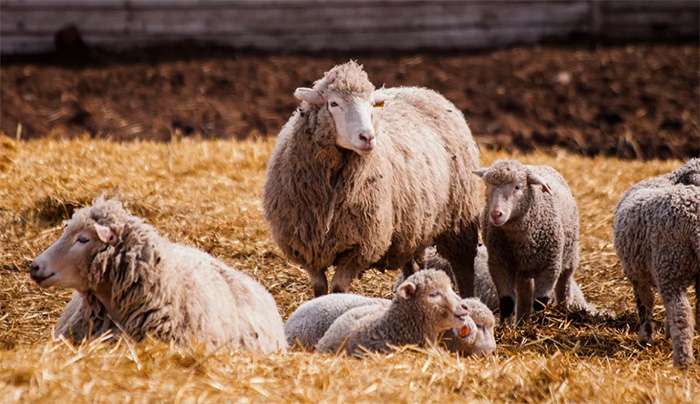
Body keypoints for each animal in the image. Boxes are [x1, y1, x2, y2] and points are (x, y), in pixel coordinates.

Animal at [262, 61, 482, 298]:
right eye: (333, 103)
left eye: (370, 106)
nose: (367, 137)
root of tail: (422, 90)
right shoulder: (306, 248)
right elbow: (320, 290)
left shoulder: (359, 248)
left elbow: (338, 290)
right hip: (413, 226)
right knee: (414, 265)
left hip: (459, 216)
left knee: (464, 267)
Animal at [474, 159, 584, 324]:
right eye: (488, 186)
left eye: (517, 187)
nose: (496, 214)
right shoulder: (499, 265)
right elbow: (506, 301)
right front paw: (504, 326)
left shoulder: (550, 267)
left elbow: (540, 302)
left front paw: (537, 324)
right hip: (522, 271)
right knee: (524, 295)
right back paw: (522, 321)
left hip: (570, 255)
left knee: (564, 283)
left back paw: (563, 308)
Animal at [616, 166, 696, 366]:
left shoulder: (636, 274)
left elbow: (645, 304)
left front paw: (646, 337)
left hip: (670, 267)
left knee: (680, 313)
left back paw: (682, 360)